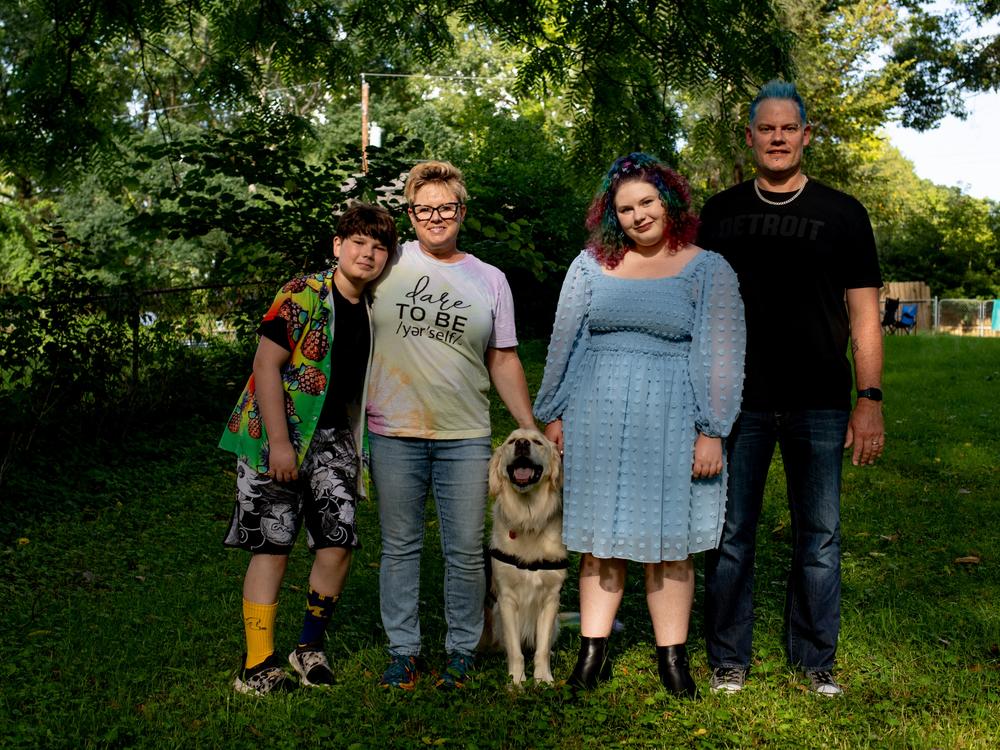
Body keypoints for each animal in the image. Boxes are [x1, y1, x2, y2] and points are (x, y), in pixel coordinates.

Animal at [486, 428, 568, 688]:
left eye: (537, 442)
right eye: (511, 441)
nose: (522, 444)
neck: (528, 517)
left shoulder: (551, 598)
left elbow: (541, 649)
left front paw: (543, 680)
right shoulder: (507, 599)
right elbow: (516, 651)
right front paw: (516, 682)